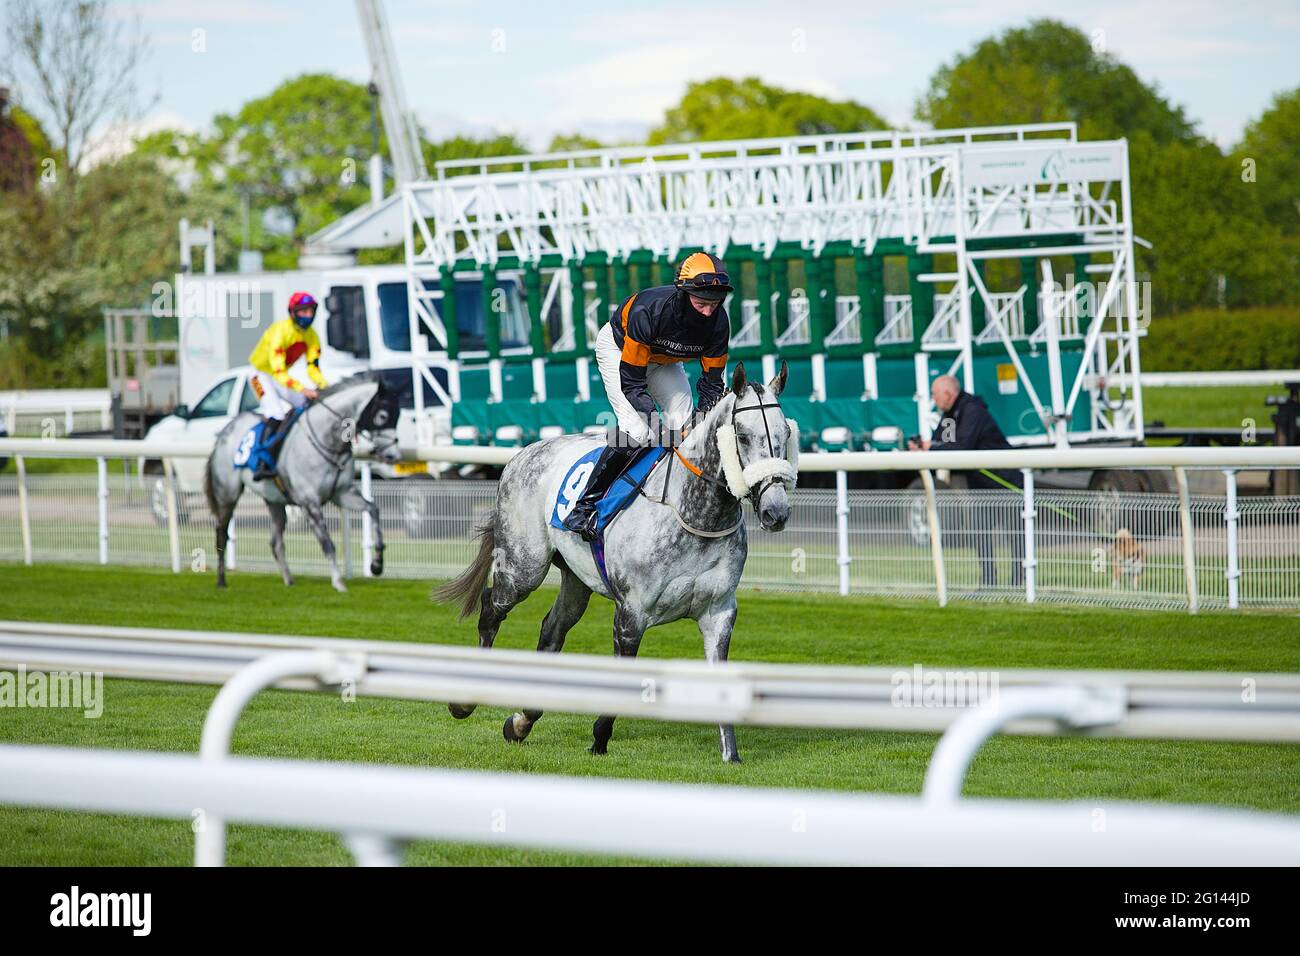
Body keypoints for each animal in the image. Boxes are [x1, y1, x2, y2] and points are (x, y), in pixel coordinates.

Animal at [202, 377, 400, 595]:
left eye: (398, 416)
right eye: (383, 416)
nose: (393, 456)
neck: (327, 440)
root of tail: (224, 433)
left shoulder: (342, 493)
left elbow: (374, 509)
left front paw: (377, 564)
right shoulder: (309, 503)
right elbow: (327, 543)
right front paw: (338, 581)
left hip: (274, 500)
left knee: (275, 542)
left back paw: (289, 580)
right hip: (227, 495)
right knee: (222, 534)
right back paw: (221, 580)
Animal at [436, 361, 795, 764]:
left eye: (785, 433)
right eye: (744, 437)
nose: (776, 511)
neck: (693, 515)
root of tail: (523, 452)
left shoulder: (719, 613)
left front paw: (730, 754)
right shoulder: (631, 613)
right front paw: (599, 738)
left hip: (575, 579)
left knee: (552, 628)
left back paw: (523, 720)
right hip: (523, 565)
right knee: (491, 608)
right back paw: (464, 700)